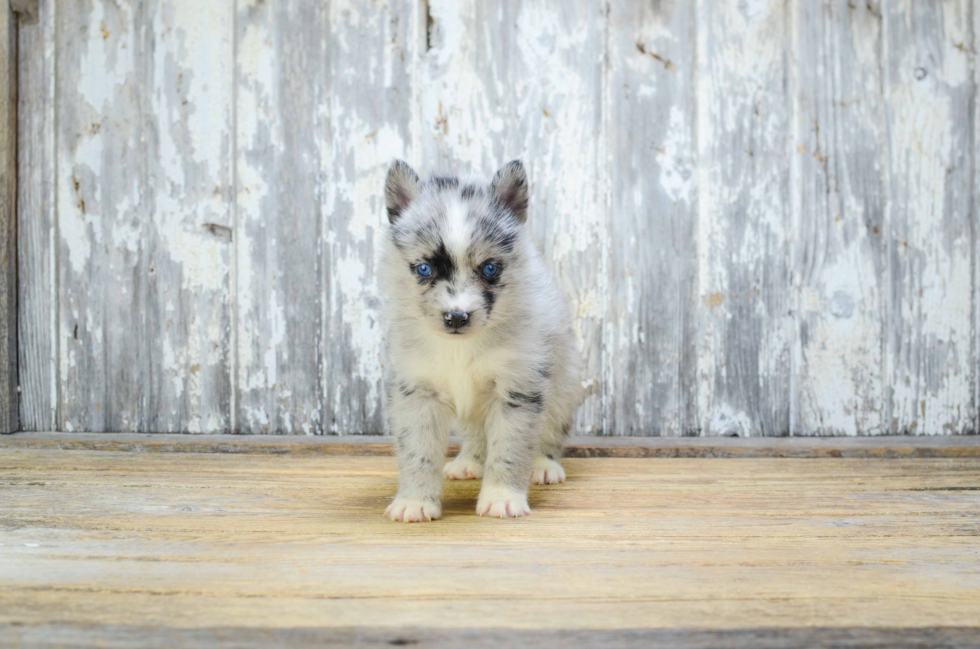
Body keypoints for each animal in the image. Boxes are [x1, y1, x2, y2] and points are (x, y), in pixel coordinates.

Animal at [378, 159, 580, 520]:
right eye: (424, 269)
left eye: (489, 269)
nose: (457, 317)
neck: (460, 347)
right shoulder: (417, 393)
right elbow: (418, 452)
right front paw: (415, 501)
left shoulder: (517, 391)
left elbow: (509, 450)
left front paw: (502, 497)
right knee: (476, 436)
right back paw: (469, 462)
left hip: (563, 390)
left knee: (550, 432)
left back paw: (544, 465)